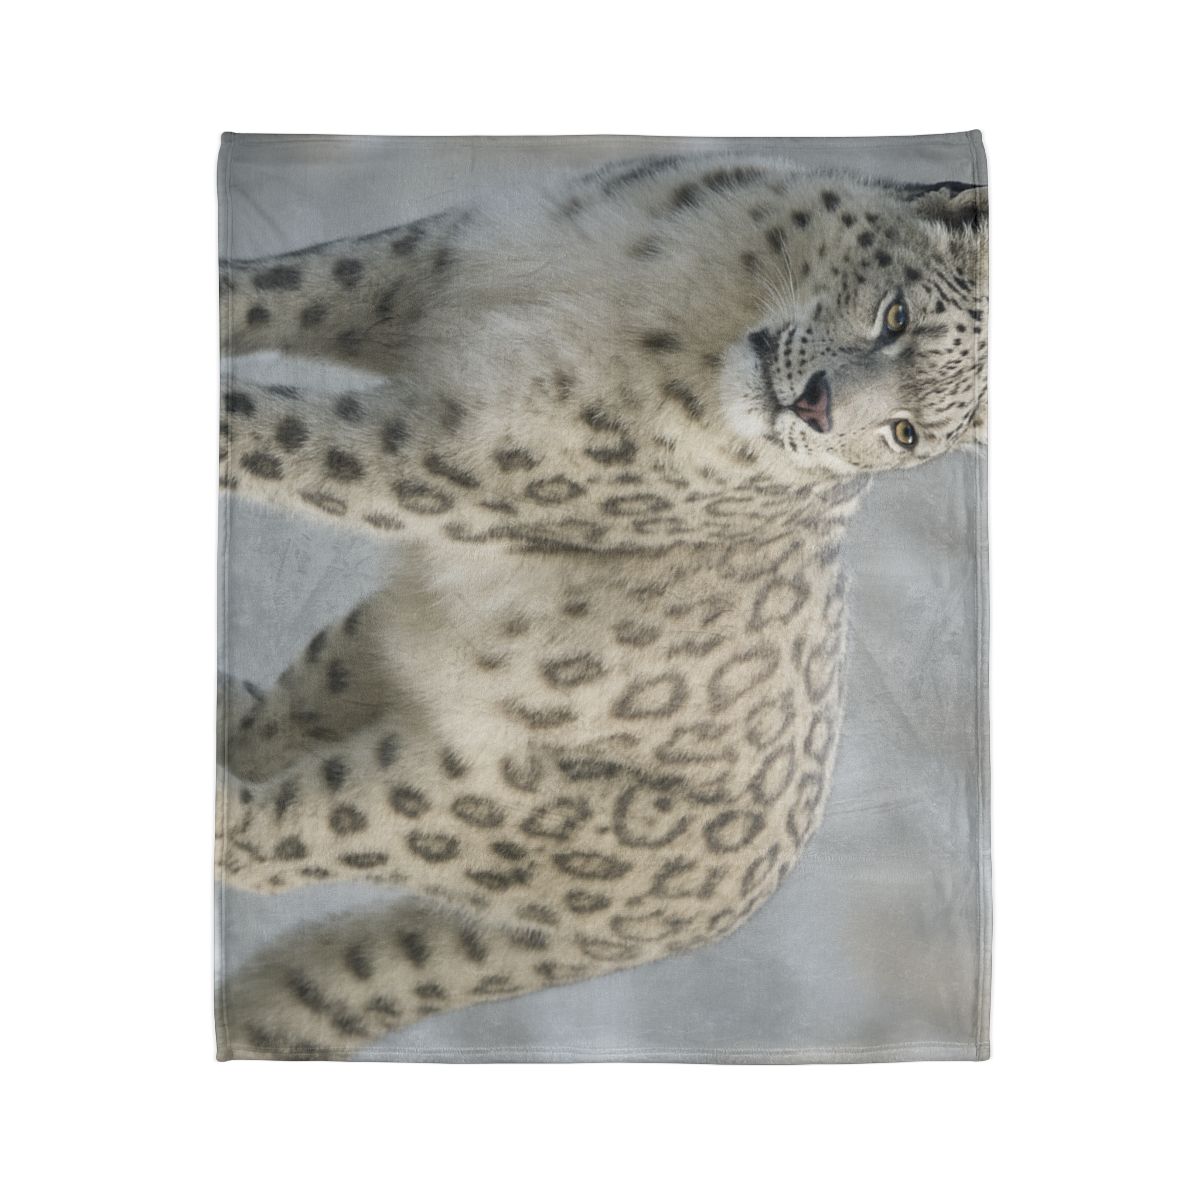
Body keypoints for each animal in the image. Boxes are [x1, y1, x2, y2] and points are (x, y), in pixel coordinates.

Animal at [216, 153, 988, 1059]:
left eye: (905, 433)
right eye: (896, 314)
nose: (816, 405)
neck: (669, 283)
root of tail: (726, 914)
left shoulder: (449, 456)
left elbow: (281, 437)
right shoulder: (427, 262)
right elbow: (279, 289)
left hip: (471, 799)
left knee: (274, 841)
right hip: (373, 644)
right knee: (286, 717)